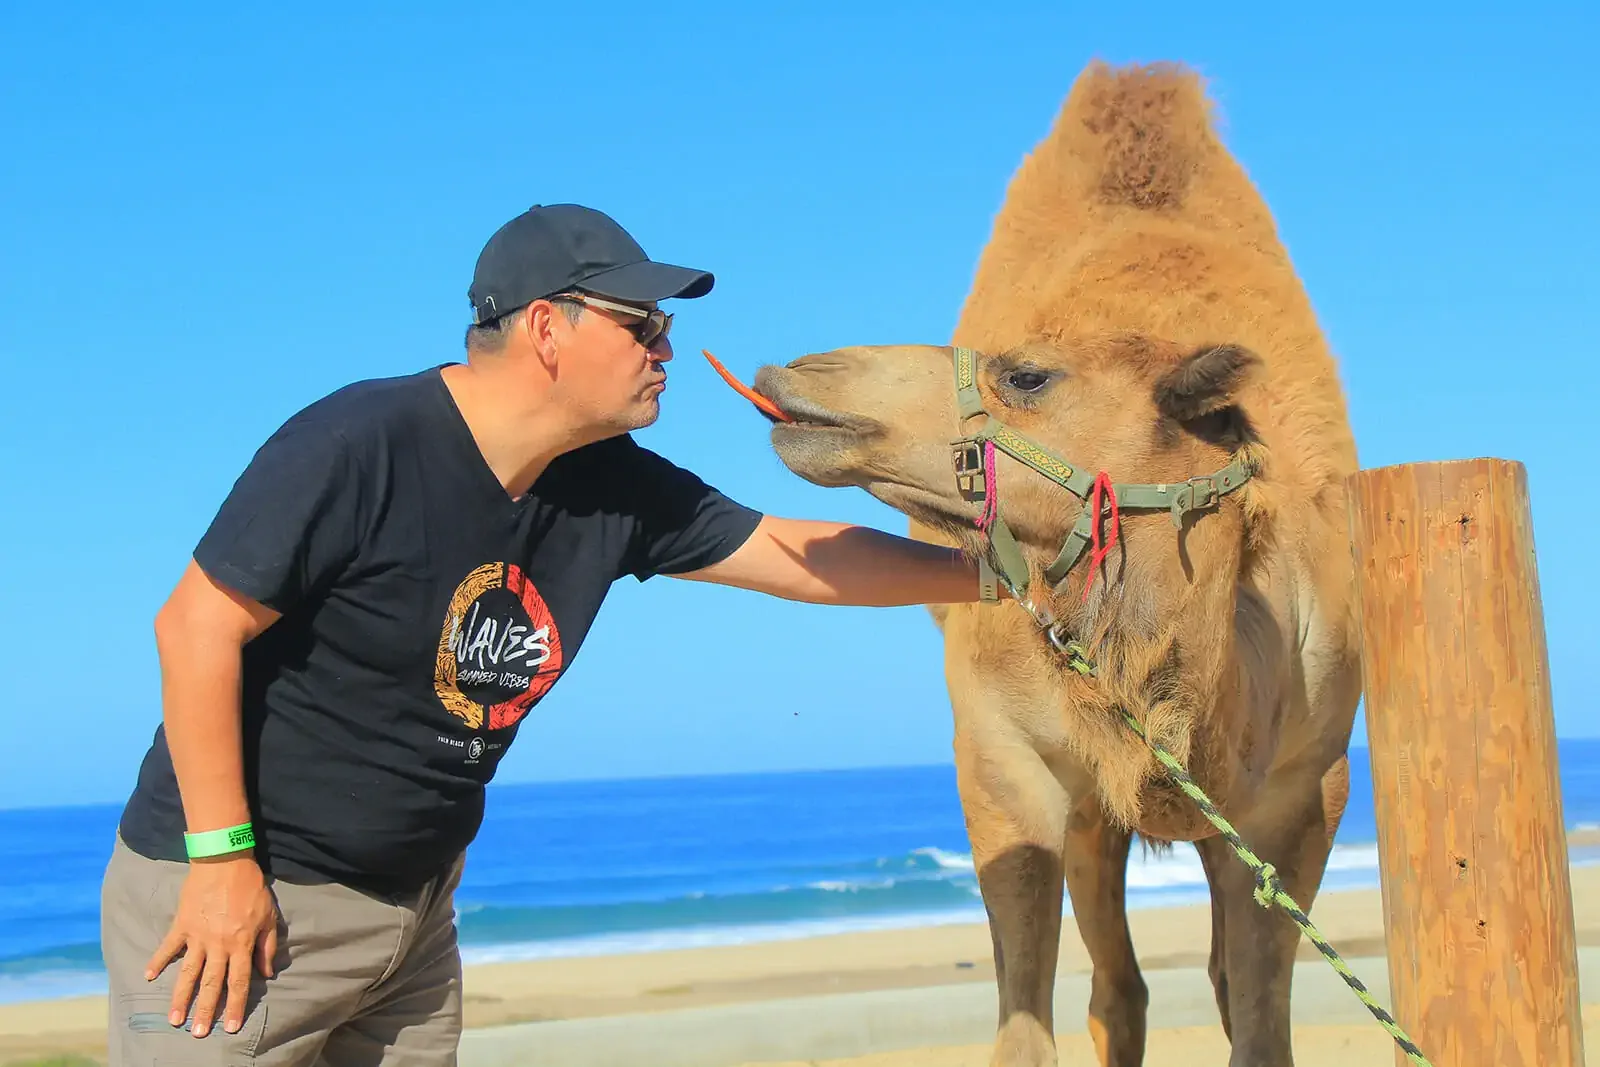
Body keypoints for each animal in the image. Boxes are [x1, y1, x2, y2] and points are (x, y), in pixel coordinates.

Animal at [751, 60, 1363, 1067]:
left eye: (1027, 374)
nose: (798, 372)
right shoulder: (1006, 752)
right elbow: (1025, 1030)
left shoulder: (1301, 791)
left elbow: (1261, 1028)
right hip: (1089, 809)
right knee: (1120, 989)